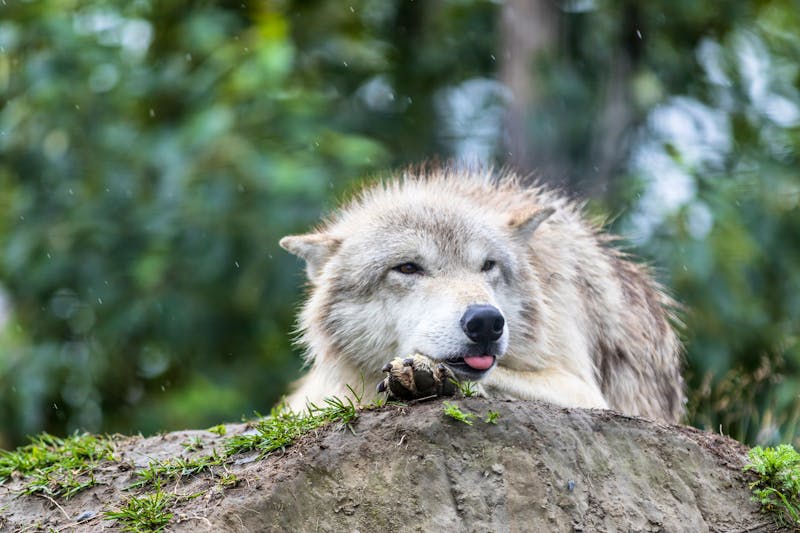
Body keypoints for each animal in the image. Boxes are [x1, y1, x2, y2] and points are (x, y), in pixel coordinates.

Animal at [280, 167, 684, 423]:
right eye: (408, 268)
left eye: (488, 265)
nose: (486, 322)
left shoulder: (586, 391)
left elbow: (492, 376)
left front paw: (427, 374)